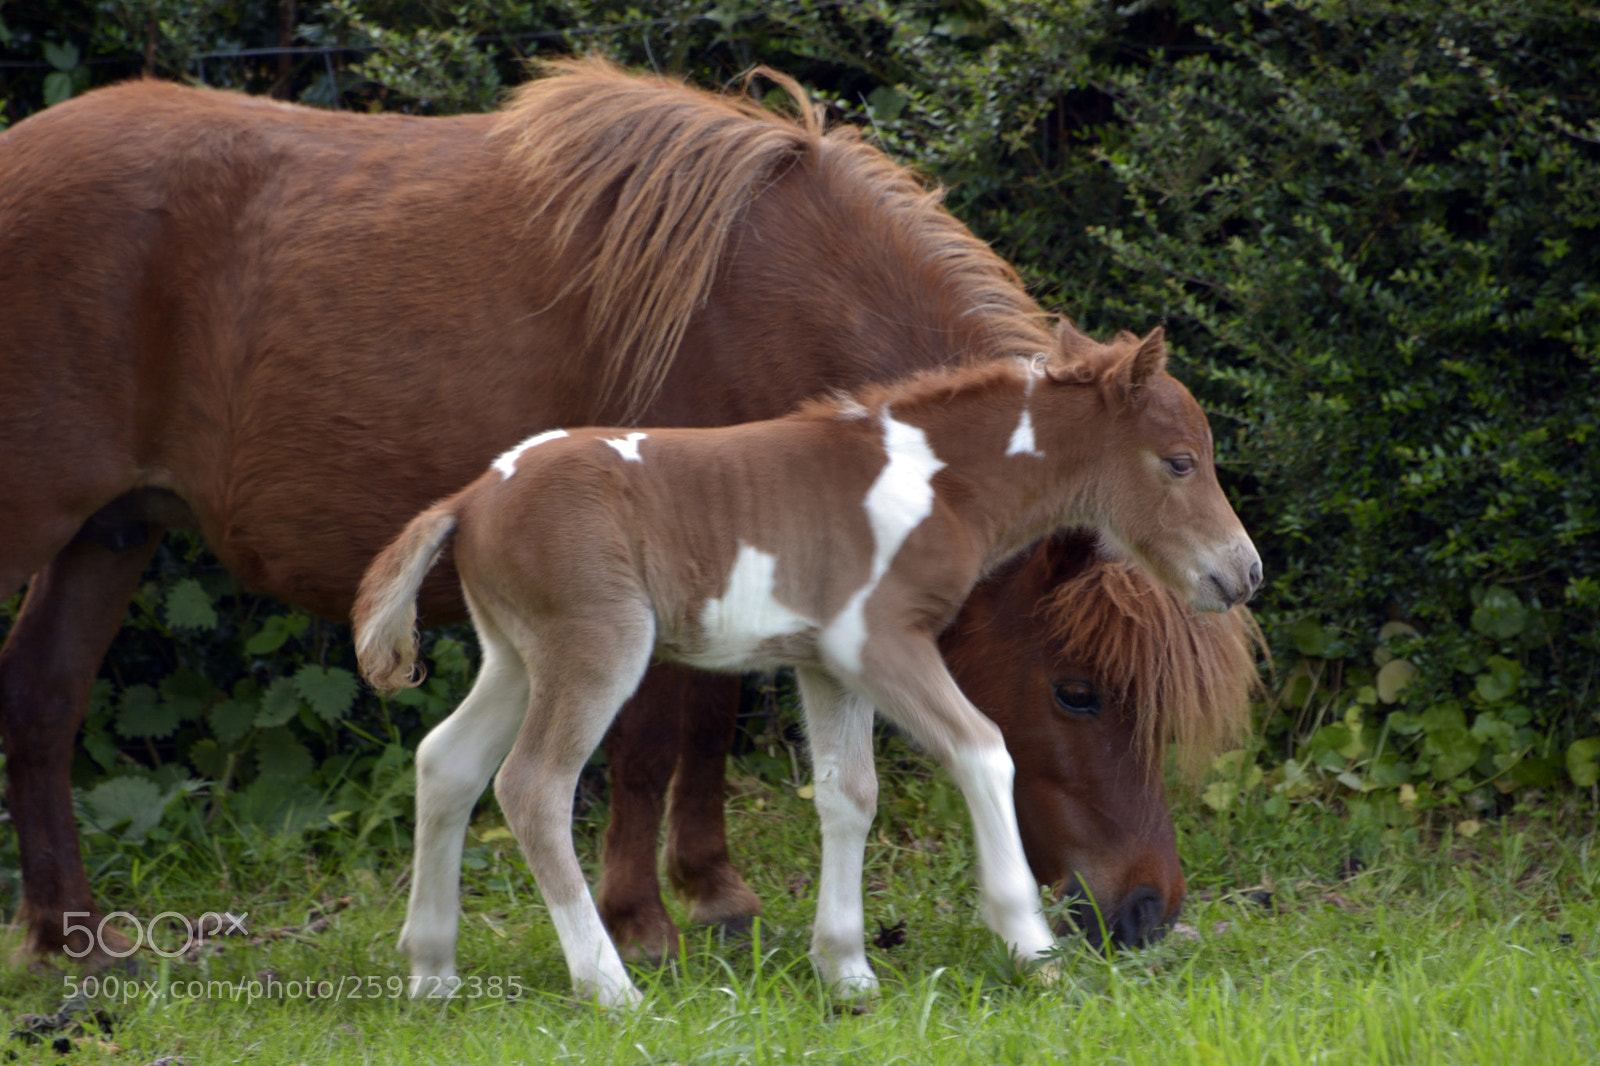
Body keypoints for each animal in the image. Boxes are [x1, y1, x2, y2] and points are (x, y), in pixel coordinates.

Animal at [598, 529, 1262, 961]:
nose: (1153, 911)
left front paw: (713, 892)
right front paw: (640, 924)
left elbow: (710, 719)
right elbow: (648, 741)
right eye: (1076, 693)